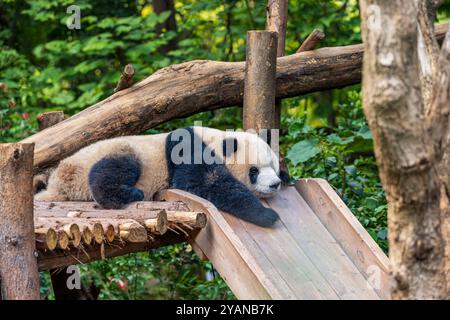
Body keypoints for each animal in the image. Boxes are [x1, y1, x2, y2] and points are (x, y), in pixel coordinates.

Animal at [36, 126, 288, 226]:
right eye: (254, 171)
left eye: (273, 166)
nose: (274, 184)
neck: (215, 140)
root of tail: (56, 185)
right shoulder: (187, 149)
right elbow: (207, 181)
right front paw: (266, 215)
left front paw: (287, 177)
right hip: (105, 156)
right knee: (112, 169)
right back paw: (129, 194)